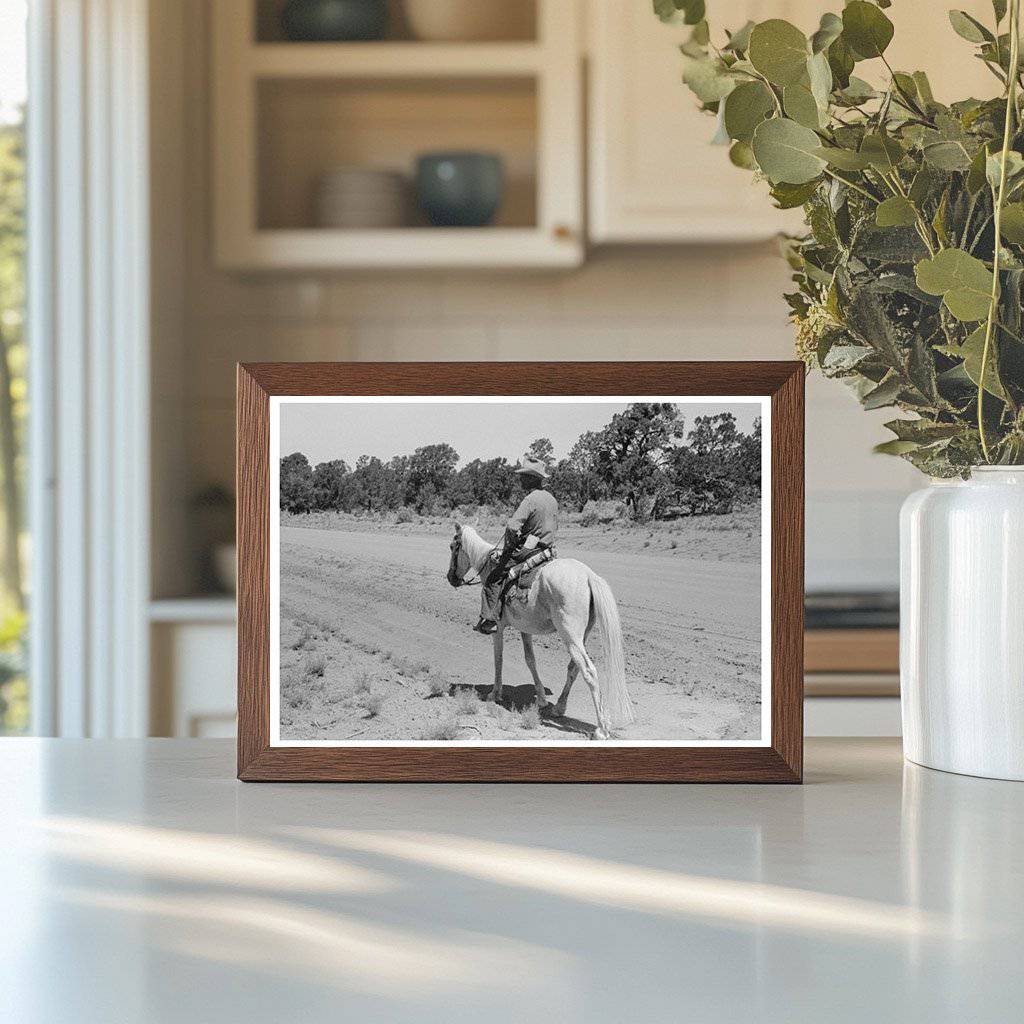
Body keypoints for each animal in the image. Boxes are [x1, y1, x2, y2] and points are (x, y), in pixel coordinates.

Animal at [446, 524, 630, 741]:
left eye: (453, 547)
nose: (451, 578)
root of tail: (588, 576)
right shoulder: (525, 629)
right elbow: (530, 660)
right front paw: (541, 698)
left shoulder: (498, 627)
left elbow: (498, 659)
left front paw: (494, 694)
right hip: (581, 636)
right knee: (573, 668)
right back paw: (559, 708)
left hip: (570, 635)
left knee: (589, 671)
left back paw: (601, 728)